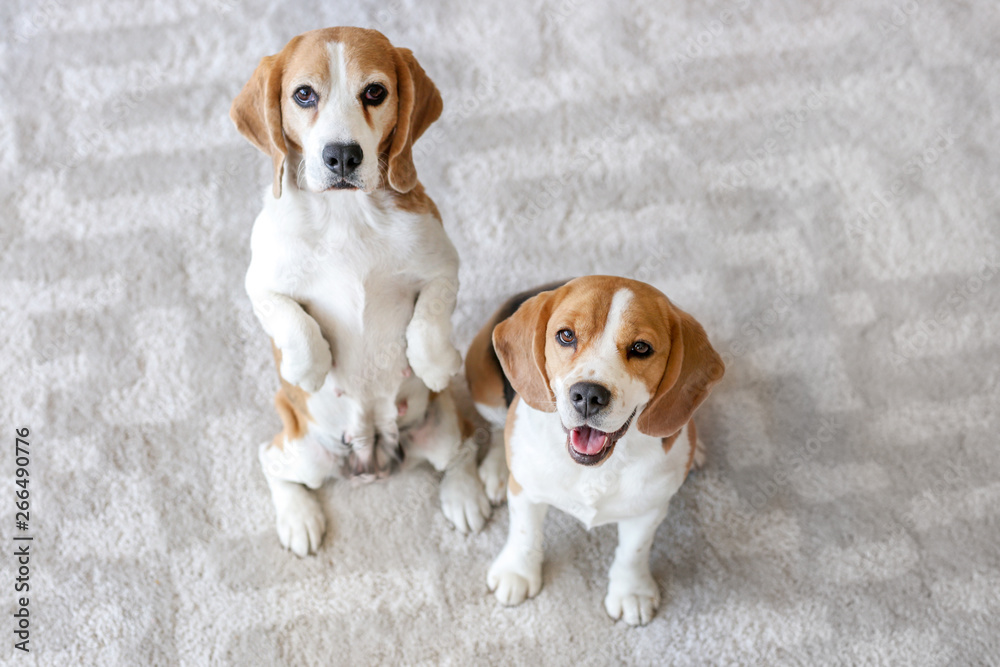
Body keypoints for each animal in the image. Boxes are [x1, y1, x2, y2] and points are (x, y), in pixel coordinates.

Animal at [229, 28, 488, 556]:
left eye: (374, 92)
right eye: (303, 95)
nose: (343, 155)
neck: (346, 214)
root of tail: (374, 454)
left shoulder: (443, 267)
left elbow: (430, 320)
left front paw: (433, 363)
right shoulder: (260, 284)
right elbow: (294, 321)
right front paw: (308, 368)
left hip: (445, 431)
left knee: (463, 451)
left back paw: (465, 495)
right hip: (303, 453)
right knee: (271, 462)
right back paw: (299, 518)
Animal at [464, 276, 724, 628]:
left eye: (641, 348)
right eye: (566, 335)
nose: (588, 395)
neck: (595, 469)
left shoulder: (648, 509)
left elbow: (633, 552)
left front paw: (631, 591)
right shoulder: (526, 492)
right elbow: (524, 533)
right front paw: (516, 573)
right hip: (484, 385)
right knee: (494, 425)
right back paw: (496, 470)